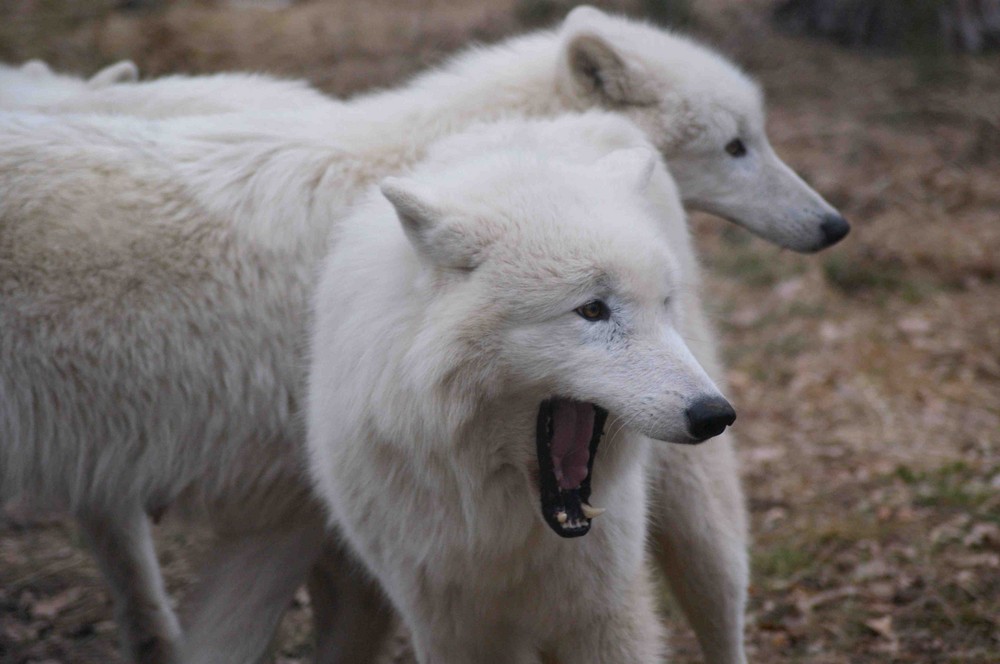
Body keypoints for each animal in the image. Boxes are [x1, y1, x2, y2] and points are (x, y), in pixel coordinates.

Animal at [306, 115, 736, 664]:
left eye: (662, 304)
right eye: (592, 309)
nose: (714, 415)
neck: (498, 523)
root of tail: (568, 119)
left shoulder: (605, 614)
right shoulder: (449, 628)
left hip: (702, 529)